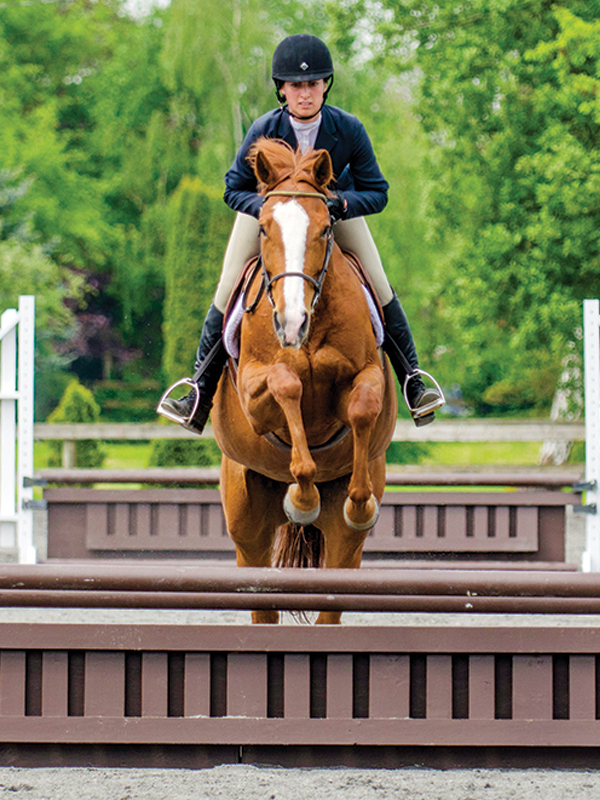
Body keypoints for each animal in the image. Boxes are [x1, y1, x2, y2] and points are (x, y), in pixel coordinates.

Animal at [211, 138, 397, 624]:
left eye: (326, 230)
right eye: (263, 229)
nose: (291, 321)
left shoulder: (368, 373)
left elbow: (362, 408)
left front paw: (355, 503)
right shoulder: (254, 392)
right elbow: (286, 383)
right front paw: (302, 496)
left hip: (345, 549)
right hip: (247, 529)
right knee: (262, 600)